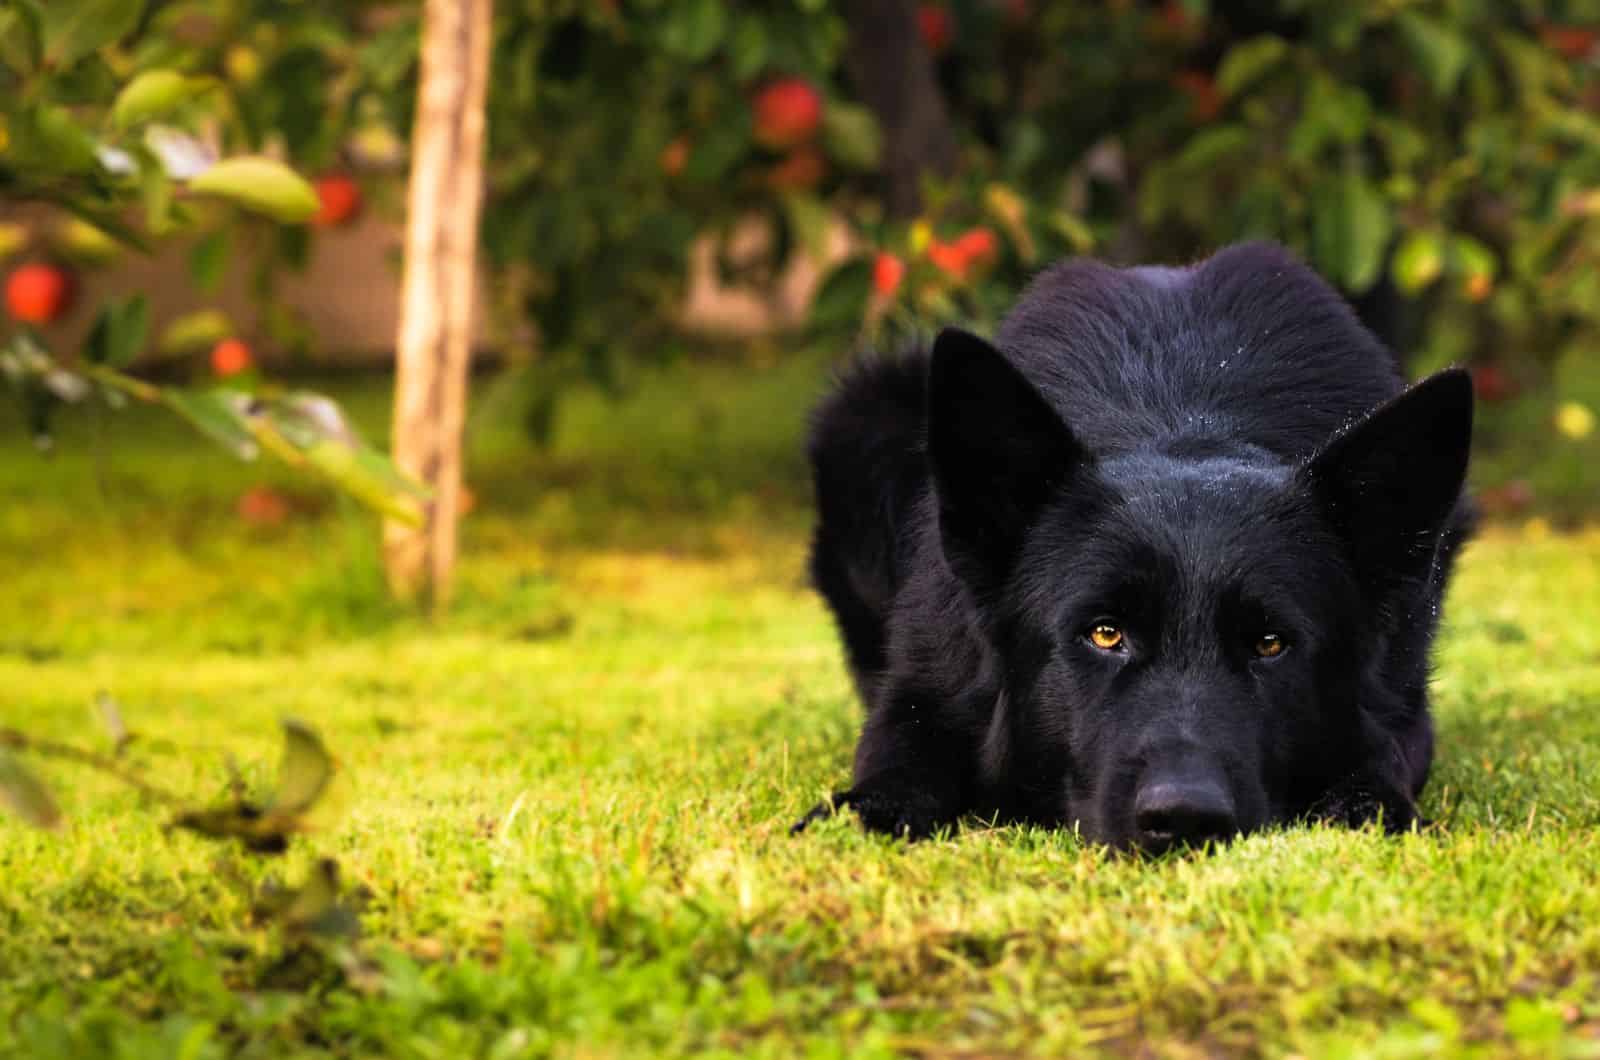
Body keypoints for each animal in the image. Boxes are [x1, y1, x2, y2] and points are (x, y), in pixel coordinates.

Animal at [800, 243, 1472, 858]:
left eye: (1270, 644)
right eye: (1104, 633)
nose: (1184, 819)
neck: (1186, 423)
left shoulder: (1401, 710)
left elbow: (1379, 765)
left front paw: (1367, 807)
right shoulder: (922, 691)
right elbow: (897, 765)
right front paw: (864, 813)